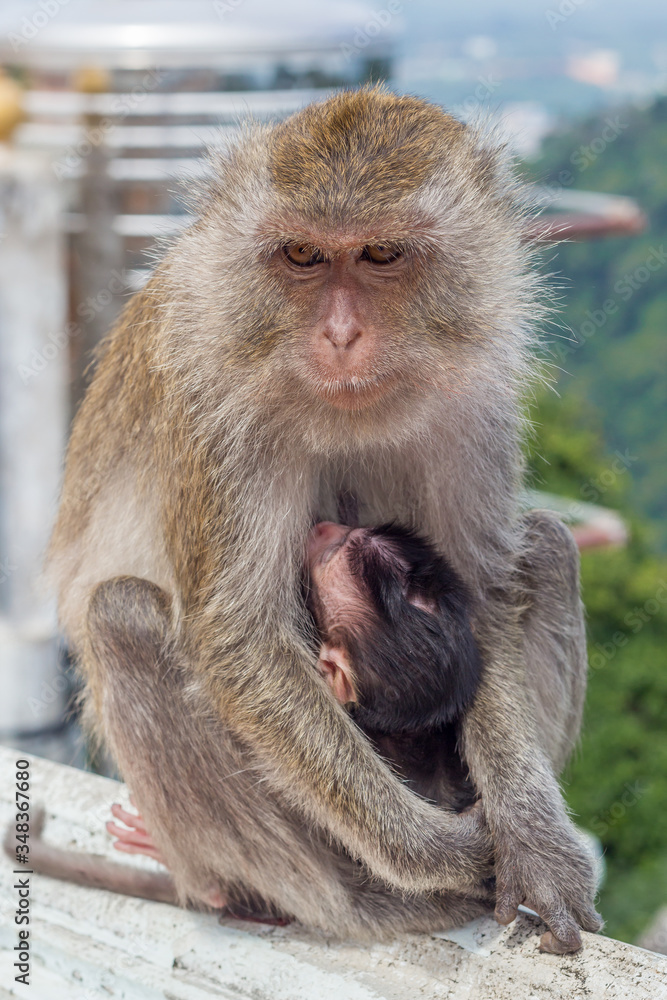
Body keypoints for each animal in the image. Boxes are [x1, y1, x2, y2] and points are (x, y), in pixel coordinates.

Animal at [45, 86, 602, 953]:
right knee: (122, 613)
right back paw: (365, 902)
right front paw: (438, 852)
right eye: (302, 255)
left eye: (379, 254)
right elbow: (239, 639)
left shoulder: (474, 398)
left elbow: (484, 591)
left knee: (544, 547)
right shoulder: (212, 395)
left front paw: (534, 843)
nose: (339, 334)